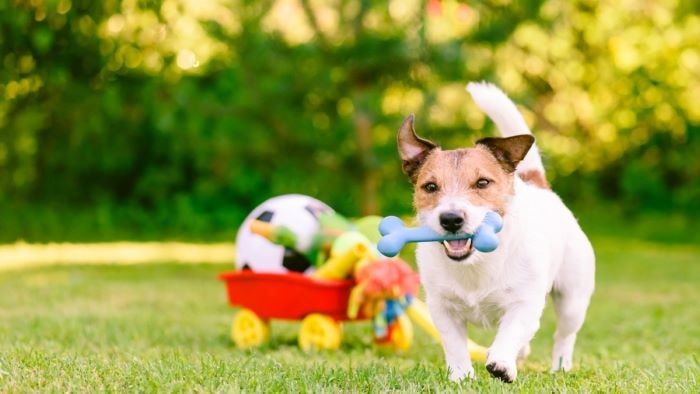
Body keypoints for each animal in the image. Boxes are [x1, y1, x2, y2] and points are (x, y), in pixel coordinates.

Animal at [396, 82, 592, 382]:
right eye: (430, 187)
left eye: (482, 183)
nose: (451, 219)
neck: (476, 263)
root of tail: (538, 186)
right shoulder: (442, 309)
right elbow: (455, 345)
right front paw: (461, 376)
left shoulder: (524, 304)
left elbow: (511, 332)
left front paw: (501, 363)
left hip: (573, 300)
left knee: (563, 336)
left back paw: (559, 366)